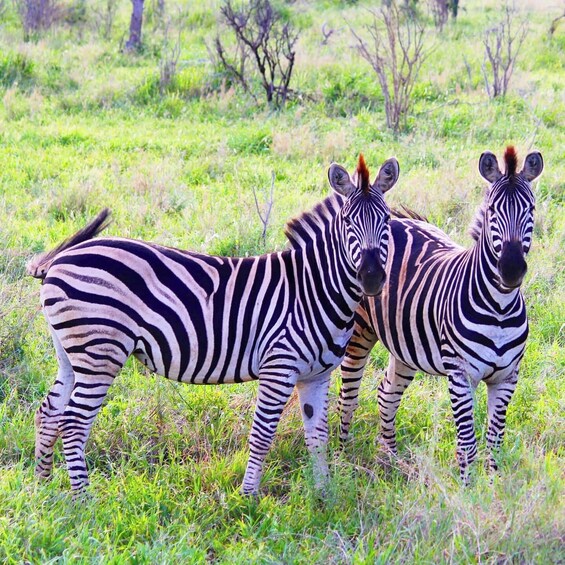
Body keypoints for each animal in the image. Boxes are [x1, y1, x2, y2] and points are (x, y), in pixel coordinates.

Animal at [25, 153, 396, 494]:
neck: (313, 288)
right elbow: (262, 435)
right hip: (100, 351)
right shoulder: (278, 367)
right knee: (73, 423)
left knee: (49, 412)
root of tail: (60, 260)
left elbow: (318, 437)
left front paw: (324, 496)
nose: (372, 278)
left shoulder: (316, 376)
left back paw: (44, 487)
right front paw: (248, 497)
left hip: (72, 352)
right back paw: (83, 500)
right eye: (347, 222)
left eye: (387, 221)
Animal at [334, 148, 540, 482]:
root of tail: (396, 219)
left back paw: (392, 458)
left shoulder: (508, 377)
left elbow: (495, 441)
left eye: (531, 209)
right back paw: (341, 459)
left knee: (387, 393)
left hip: (405, 345)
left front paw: (494, 486)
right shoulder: (461, 374)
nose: (510, 270)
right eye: (492, 211)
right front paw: (469, 488)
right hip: (360, 333)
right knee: (348, 395)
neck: (499, 307)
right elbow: (467, 443)